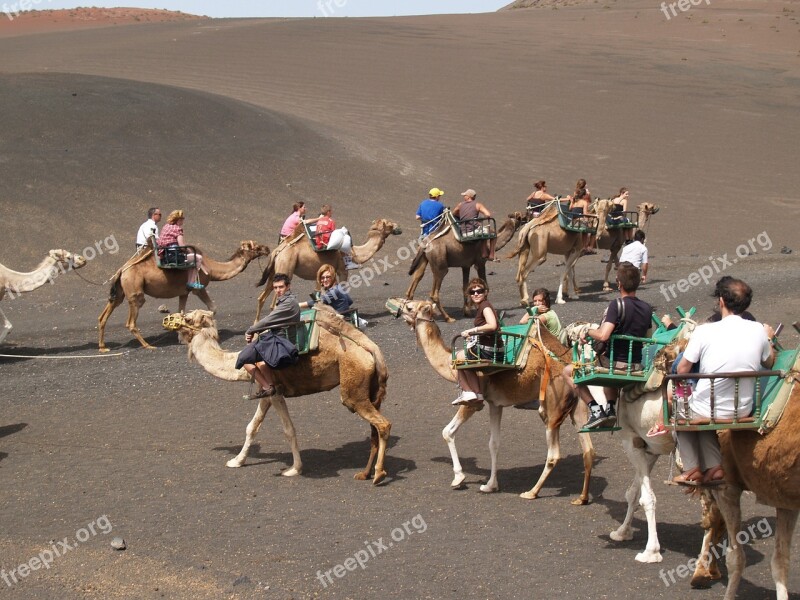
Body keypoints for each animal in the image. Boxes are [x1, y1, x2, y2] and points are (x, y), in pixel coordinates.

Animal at [97, 240, 270, 352]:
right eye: (255, 246)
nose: (267, 248)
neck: (211, 268)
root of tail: (122, 269)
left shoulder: (183, 292)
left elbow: (181, 313)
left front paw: (181, 336)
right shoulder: (198, 288)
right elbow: (212, 308)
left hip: (121, 290)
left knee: (105, 314)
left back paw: (103, 347)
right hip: (135, 290)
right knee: (131, 321)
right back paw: (148, 345)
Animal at [162, 308, 390, 486]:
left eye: (187, 318)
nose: (167, 318)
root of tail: (373, 350)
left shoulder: (276, 390)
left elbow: (288, 430)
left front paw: (294, 469)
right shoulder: (265, 393)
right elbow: (252, 427)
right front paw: (236, 461)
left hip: (353, 390)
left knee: (382, 424)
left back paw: (378, 474)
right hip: (370, 391)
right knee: (374, 430)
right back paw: (365, 473)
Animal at [255, 218, 400, 322]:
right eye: (389, 224)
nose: (398, 228)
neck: (354, 253)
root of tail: (278, 251)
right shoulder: (343, 270)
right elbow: (342, 290)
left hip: (275, 271)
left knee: (261, 298)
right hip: (286, 267)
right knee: (274, 301)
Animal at [392, 298, 592, 504]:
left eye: (410, 306)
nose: (393, 304)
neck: (450, 364)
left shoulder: (475, 401)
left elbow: (447, 432)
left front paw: (458, 478)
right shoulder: (495, 403)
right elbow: (493, 443)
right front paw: (490, 485)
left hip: (552, 407)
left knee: (554, 454)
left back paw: (531, 492)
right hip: (578, 407)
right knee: (588, 450)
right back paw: (582, 498)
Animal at [510, 202, 660, 304]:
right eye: (650, 206)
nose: (657, 208)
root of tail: (529, 226)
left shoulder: (570, 250)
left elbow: (570, 271)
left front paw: (571, 294)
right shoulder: (614, 246)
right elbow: (608, 266)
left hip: (525, 247)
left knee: (519, 272)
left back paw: (523, 298)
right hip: (540, 253)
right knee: (524, 272)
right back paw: (526, 299)